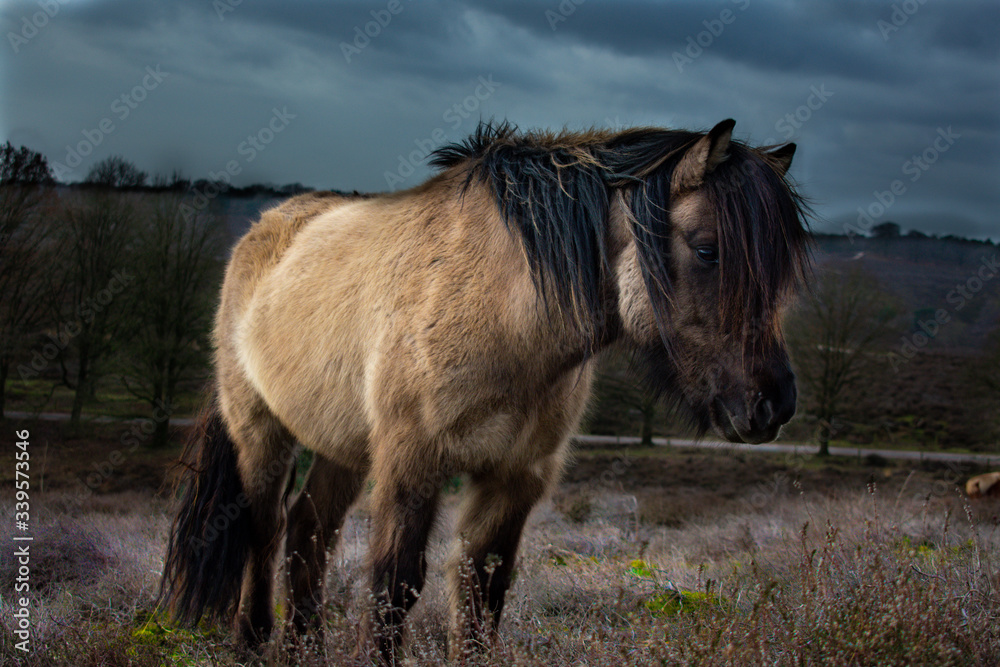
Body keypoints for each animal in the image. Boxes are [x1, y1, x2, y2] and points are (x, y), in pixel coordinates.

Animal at [160, 118, 810, 662]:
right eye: (706, 249)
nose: (773, 404)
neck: (502, 313)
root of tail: (264, 231)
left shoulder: (514, 479)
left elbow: (482, 594)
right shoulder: (411, 466)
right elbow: (393, 587)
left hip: (341, 448)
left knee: (307, 534)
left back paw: (303, 651)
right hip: (261, 432)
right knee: (264, 529)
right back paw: (252, 643)